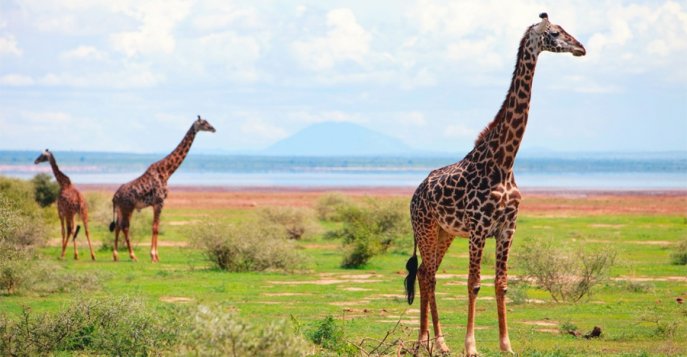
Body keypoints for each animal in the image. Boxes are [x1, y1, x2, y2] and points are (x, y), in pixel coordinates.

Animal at [109, 114, 215, 262]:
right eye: (204, 123)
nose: (213, 128)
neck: (167, 172)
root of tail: (115, 196)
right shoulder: (159, 202)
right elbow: (155, 227)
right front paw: (153, 256)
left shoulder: (157, 204)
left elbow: (156, 226)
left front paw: (156, 256)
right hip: (128, 208)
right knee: (125, 227)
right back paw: (133, 256)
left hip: (120, 209)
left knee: (118, 227)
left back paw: (115, 255)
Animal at [404, 13, 584, 354]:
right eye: (555, 33)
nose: (581, 48)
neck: (504, 162)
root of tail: (415, 194)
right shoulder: (478, 228)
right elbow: (473, 284)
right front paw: (471, 346)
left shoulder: (507, 227)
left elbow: (501, 284)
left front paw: (506, 345)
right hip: (426, 228)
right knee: (427, 275)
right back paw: (424, 342)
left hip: (446, 232)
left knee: (426, 272)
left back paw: (440, 343)